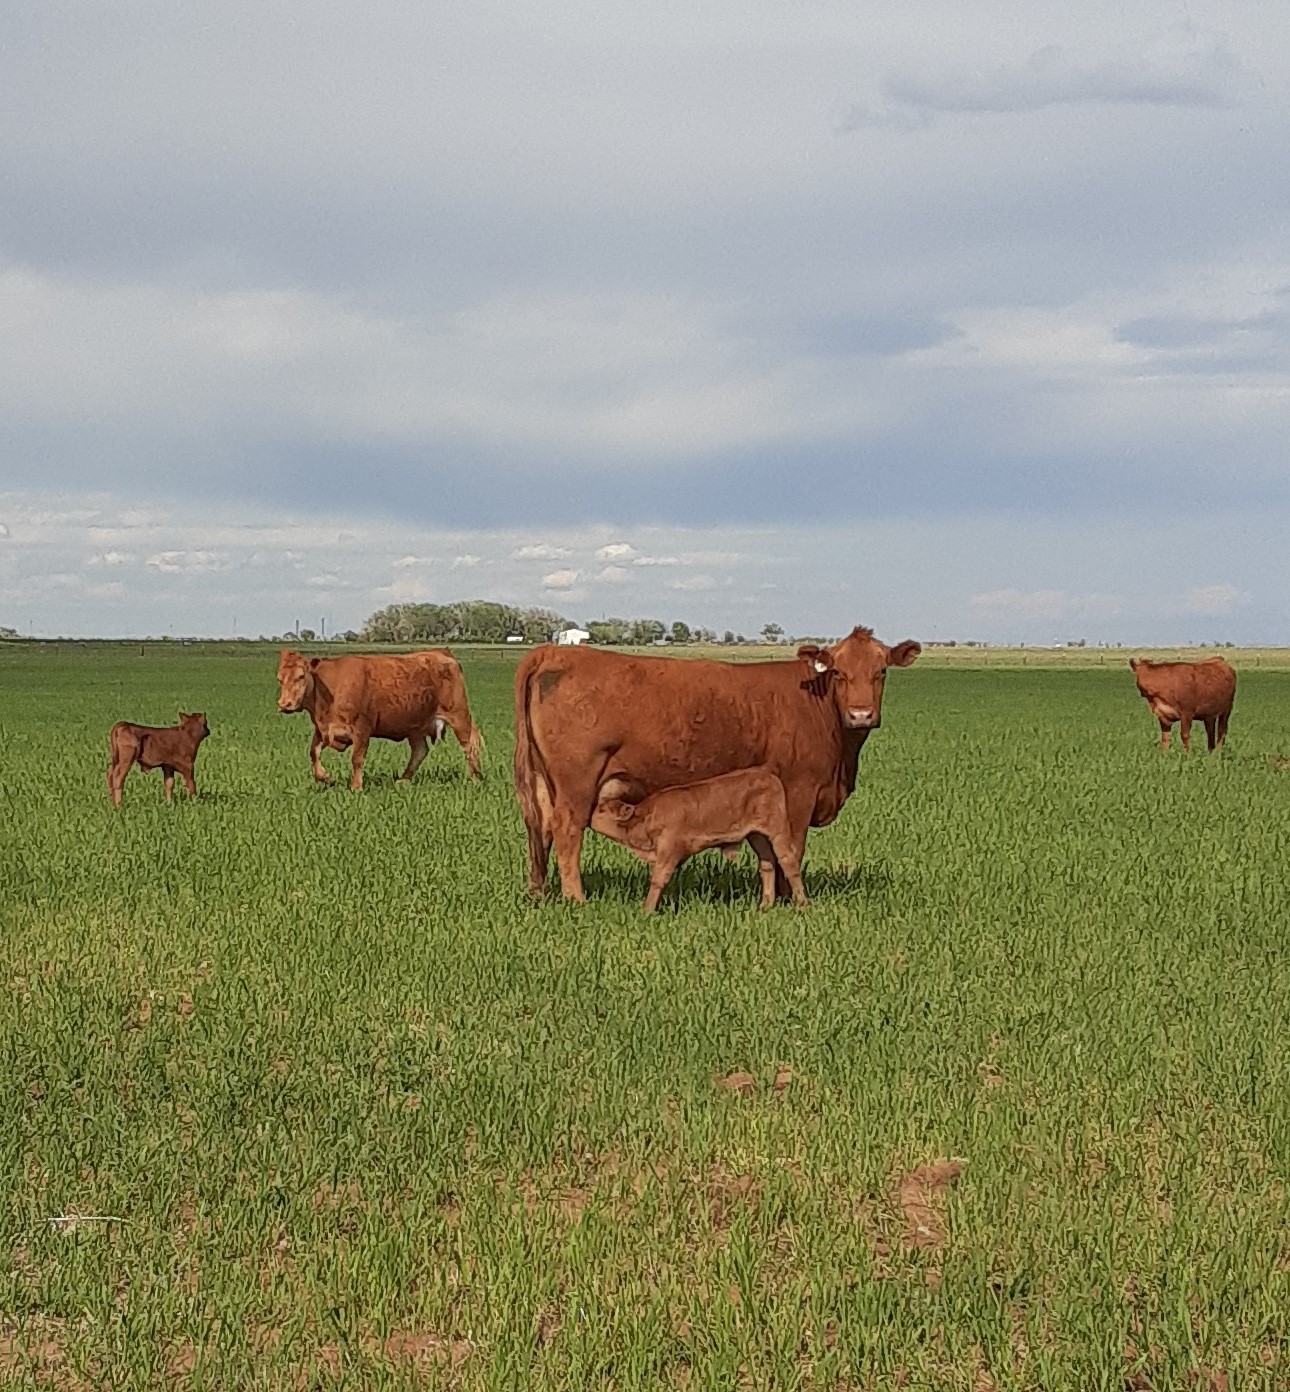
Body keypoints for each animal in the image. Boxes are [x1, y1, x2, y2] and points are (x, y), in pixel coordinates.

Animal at [276, 649, 482, 789]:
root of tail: (441, 652)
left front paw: (356, 787)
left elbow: (357, 758)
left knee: (469, 746)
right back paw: (403, 780)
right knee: (420, 751)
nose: (284, 704)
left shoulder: (361, 729)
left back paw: (475, 779)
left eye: (301, 676)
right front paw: (324, 777)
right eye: (279, 679)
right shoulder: (322, 730)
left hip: (458, 715)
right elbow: (313, 752)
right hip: (415, 727)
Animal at [590, 767, 808, 913]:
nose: (589, 817)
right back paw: (765, 905)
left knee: (788, 862)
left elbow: (658, 879)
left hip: (777, 831)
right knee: (767, 864)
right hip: (757, 836)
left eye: (602, 810)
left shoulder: (670, 849)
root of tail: (767, 775)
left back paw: (802, 904)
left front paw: (647, 909)